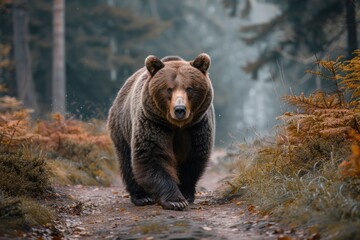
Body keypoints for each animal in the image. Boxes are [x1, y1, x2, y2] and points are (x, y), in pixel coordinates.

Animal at [107, 53, 214, 211]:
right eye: (169, 89)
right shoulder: (153, 123)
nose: (179, 109)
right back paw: (142, 197)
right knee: (127, 162)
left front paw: (186, 194)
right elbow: (153, 156)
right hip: (122, 127)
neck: (176, 125)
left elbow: (193, 159)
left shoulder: (196, 127)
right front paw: (175, 201)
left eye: (189, 88)